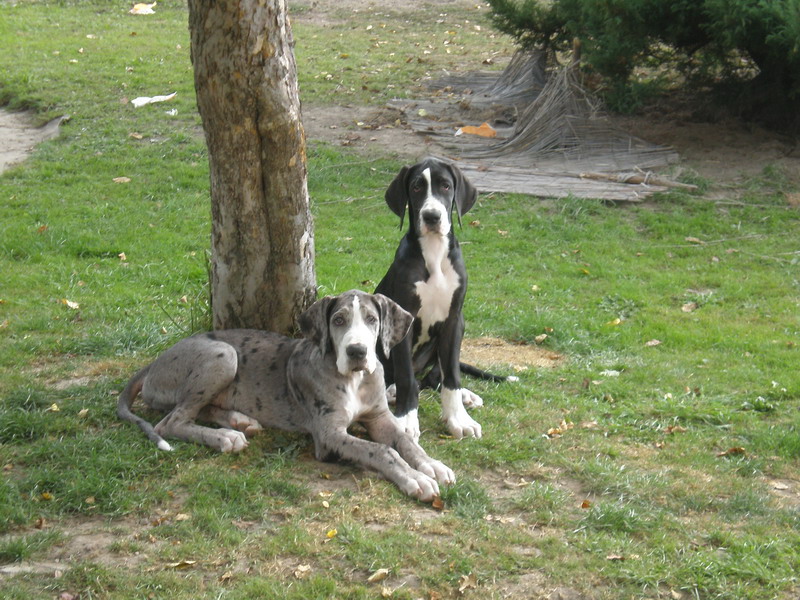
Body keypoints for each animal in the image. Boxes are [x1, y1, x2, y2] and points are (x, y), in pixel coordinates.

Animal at [374, 158, 516, 440]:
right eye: (417, 187)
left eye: (446, 186)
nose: (432, 216)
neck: (434, 253)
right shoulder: (403, 322)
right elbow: (406, 379)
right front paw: (406, 421)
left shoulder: (454, 321)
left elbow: (452, 376)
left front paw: (458, 418)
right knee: (404, 379)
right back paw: (391, 392)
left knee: (433, 379)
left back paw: (466, 395)